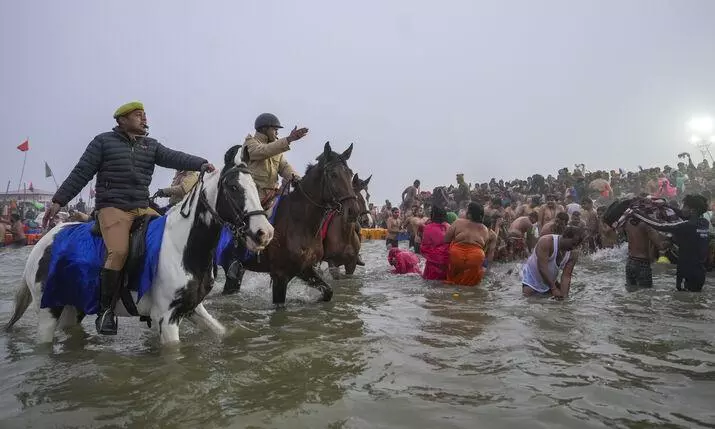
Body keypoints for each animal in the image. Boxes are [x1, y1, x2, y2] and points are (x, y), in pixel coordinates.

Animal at [218, 142, 360, 302]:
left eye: (350, 174)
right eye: (333, 174)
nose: (353, 211)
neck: (301, 223)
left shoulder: (305, 269)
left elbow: (328, 291)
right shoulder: (280, 276)